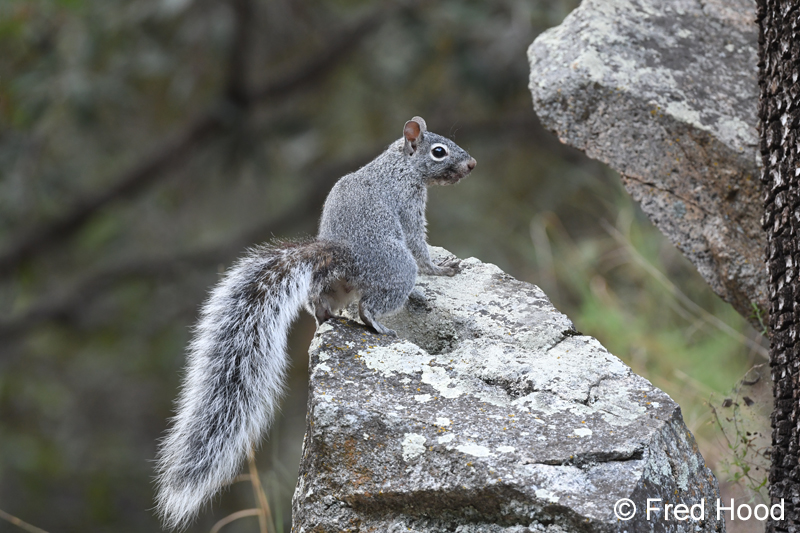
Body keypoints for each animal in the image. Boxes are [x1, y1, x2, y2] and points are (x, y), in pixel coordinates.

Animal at [154, 116, 476, 529]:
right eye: (439, 151)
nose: (471, 165)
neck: (397, 165)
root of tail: (342, 255)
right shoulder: (408, 206)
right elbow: (420, 246)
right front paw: (442, 269)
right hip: (397, 269)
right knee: (370, 305)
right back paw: (380, 325)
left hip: (331, 289)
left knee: (321, 304)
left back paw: (329, 317)